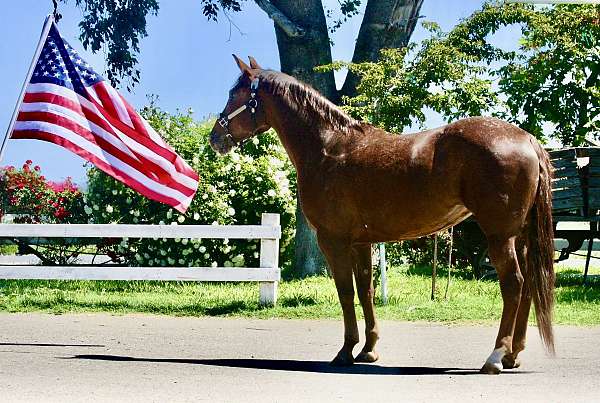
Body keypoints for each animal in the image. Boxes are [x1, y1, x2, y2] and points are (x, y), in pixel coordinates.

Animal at [209, 54, 556, 376]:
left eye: (236, 94)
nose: (215, 138)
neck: (328, 148)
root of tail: (526, 139)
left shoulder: (333, 241)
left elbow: (346, 292)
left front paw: (346, 351)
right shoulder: (362, 243)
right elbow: (366, 291)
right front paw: (369, 349)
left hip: (500, 236)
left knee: (513, 284)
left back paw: (495, 357)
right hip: (520, 237)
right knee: (527, 286)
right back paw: (512, 354)